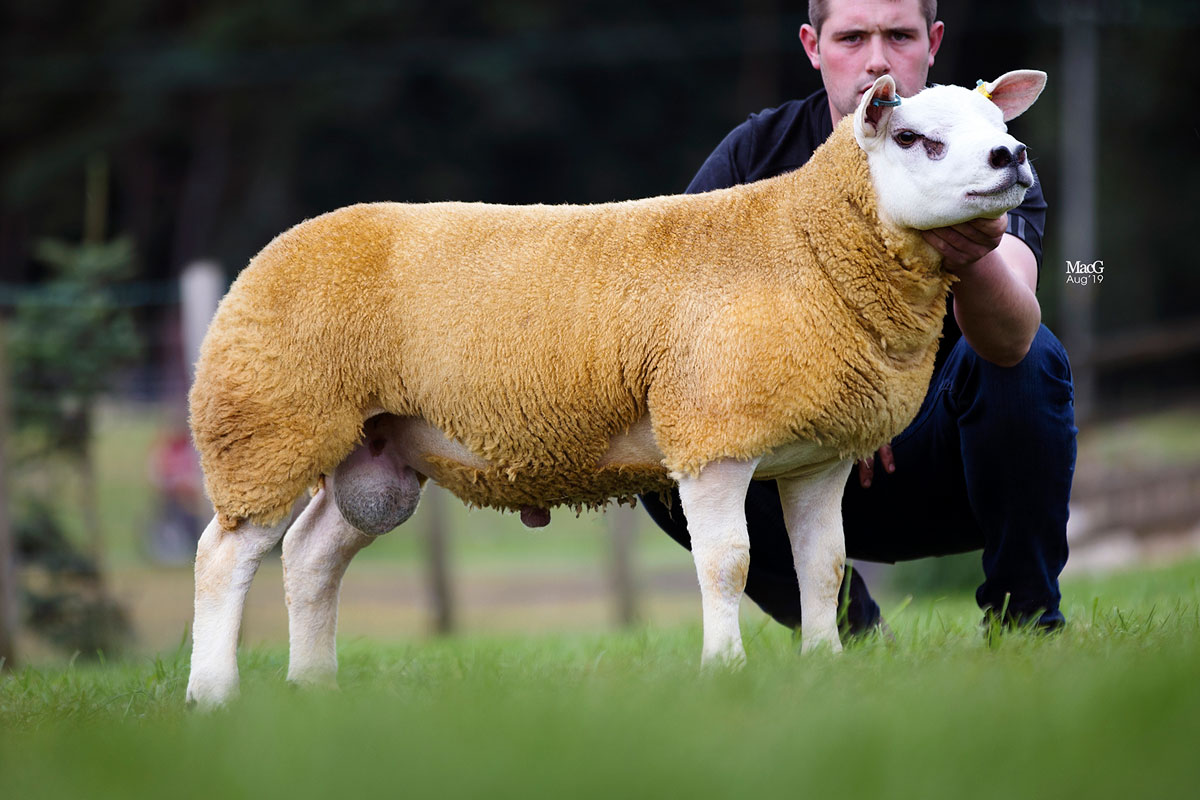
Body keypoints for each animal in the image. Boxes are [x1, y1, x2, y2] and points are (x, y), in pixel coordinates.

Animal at [185, 71, 1047, 708]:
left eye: (992, 122)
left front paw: (825, 665)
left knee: (310, 555)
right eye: (913, 138)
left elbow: (825, 566)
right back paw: (213, 695)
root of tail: (275, 249)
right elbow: (728, 563)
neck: (805, 245)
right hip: (269, 421)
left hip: (373, 448)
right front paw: (725, 671)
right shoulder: (712, 436)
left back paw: (313, 689)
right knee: (223, 555)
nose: (1012, 156)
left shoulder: (818, 456)